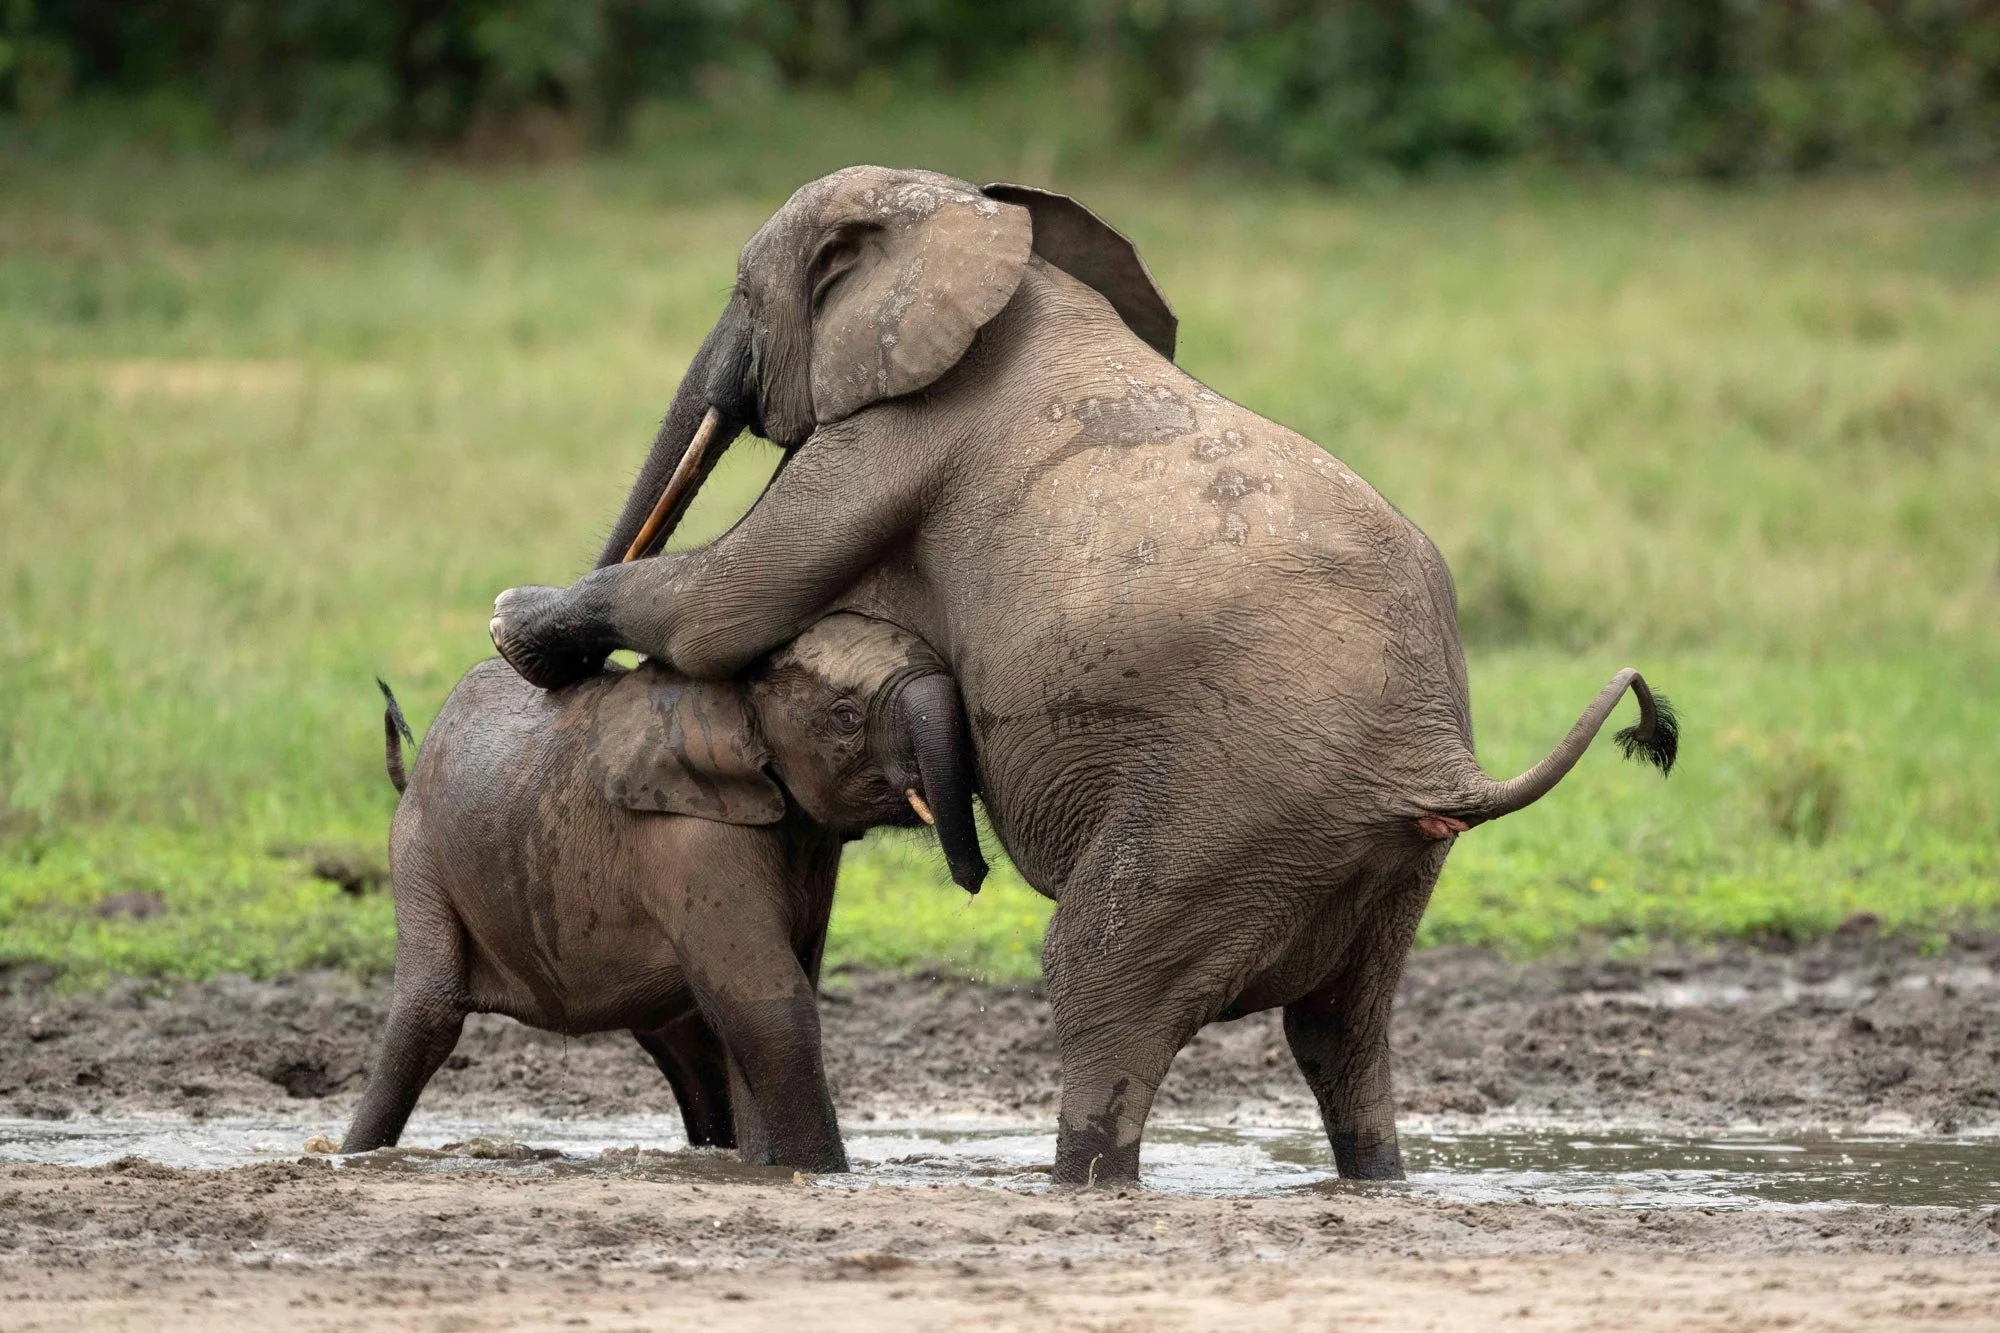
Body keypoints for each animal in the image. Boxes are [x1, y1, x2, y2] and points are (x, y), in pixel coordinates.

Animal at [340, 611, 987, 1171]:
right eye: (847, 717)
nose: (975, 880)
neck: (735, 695)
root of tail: (412, 771)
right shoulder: (692, 835)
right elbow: (773, 1007)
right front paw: (823, 1175)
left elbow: (752, 1013)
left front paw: (766, 1170)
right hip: (418, 852)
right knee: (428, 1015)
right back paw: (351, 1157)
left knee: (691, 1043)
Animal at [486, 166, 1678, 1186]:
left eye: (740, 291)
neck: (983, 232)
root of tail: (1438, 765)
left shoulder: (890, 441)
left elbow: (725, 602)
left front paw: (514, 625)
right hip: (1374, 859)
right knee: (1341, 1031)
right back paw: (1371, 1177)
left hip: (1232, 807)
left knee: (1100, 984)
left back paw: (1079, 1179)